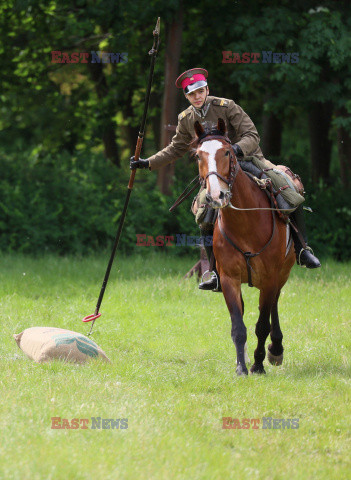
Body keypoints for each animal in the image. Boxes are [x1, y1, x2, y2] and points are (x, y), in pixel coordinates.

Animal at [194, 118, 296, 376]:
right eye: (198, 156)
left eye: (228, 152)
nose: (215, 195)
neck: (246, 223)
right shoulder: (229, 279)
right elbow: (238, 325)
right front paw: (241, 366)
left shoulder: (270, 278)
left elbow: (262, 325)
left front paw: (258, 364)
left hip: (281, 275)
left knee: (273, 306)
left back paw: (275, 349)